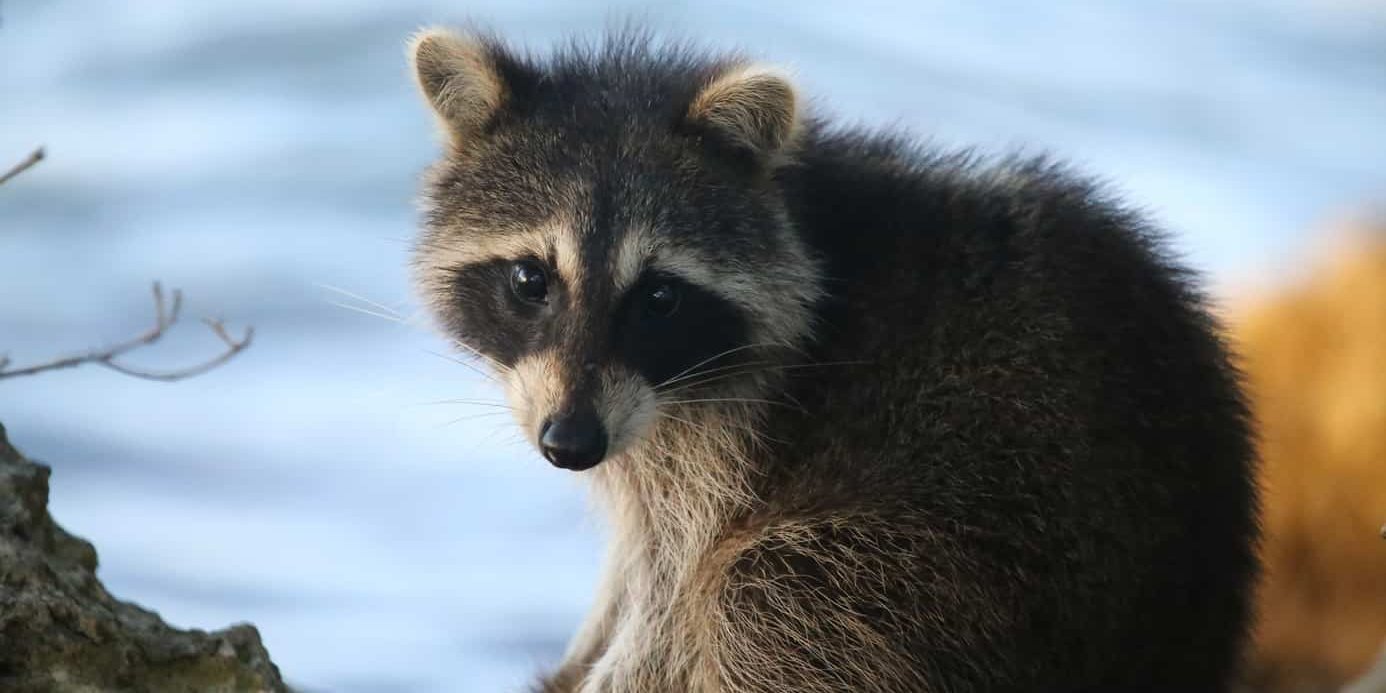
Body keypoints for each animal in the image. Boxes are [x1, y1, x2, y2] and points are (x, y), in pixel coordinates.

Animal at [407, 27, 1259, 693]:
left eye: (659, 297)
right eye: (530, 280)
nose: (570, 444)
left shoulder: (728, 439)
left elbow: (673, 599)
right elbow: (634, 568)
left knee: (761, 593)